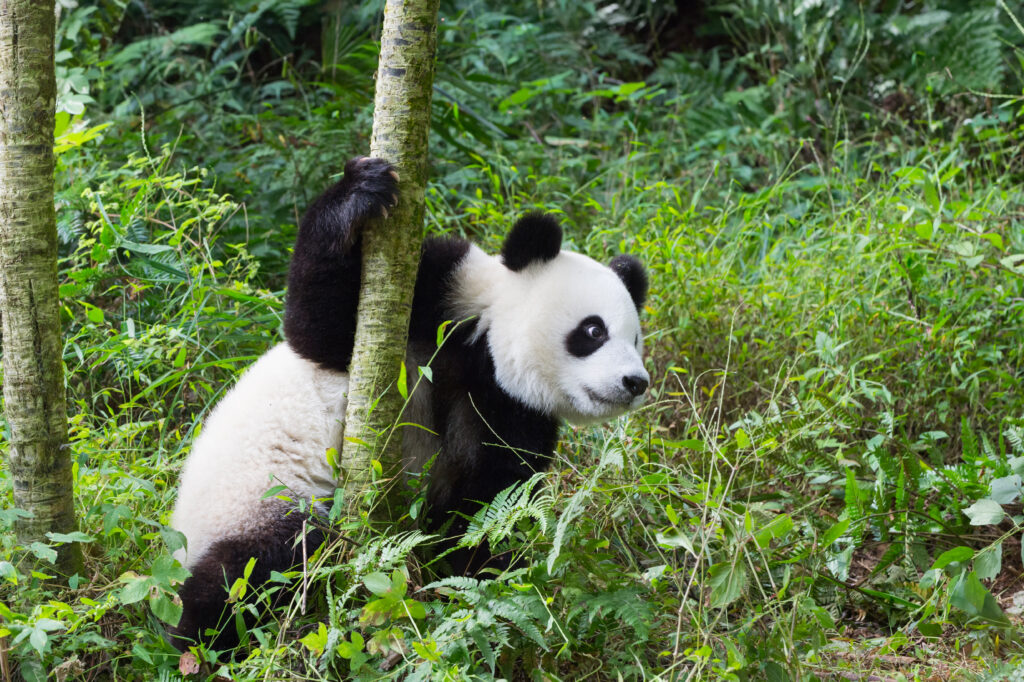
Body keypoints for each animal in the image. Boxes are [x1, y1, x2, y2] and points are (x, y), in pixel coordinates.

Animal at [167, 155, 647, 647]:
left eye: (634, 340)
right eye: (594, 331)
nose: (635, 382)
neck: (485, 354)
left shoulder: (510, 412)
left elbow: (483, 505)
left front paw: (481, 583)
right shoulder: (440, 294)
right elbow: (320, 331)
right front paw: (359, 189)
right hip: (260, 499)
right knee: (258, 567)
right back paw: (200, 639)